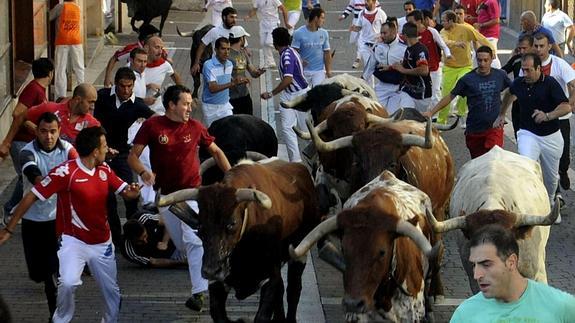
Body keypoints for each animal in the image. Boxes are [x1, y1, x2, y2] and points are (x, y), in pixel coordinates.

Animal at [155, 159, 322, 323]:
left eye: (232, 223)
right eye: (200, 224)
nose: (210, 270)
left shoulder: (270, 275)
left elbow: (263, 314)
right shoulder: (217, 283)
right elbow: (219, 314)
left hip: (299, 252)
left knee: (294, 288)